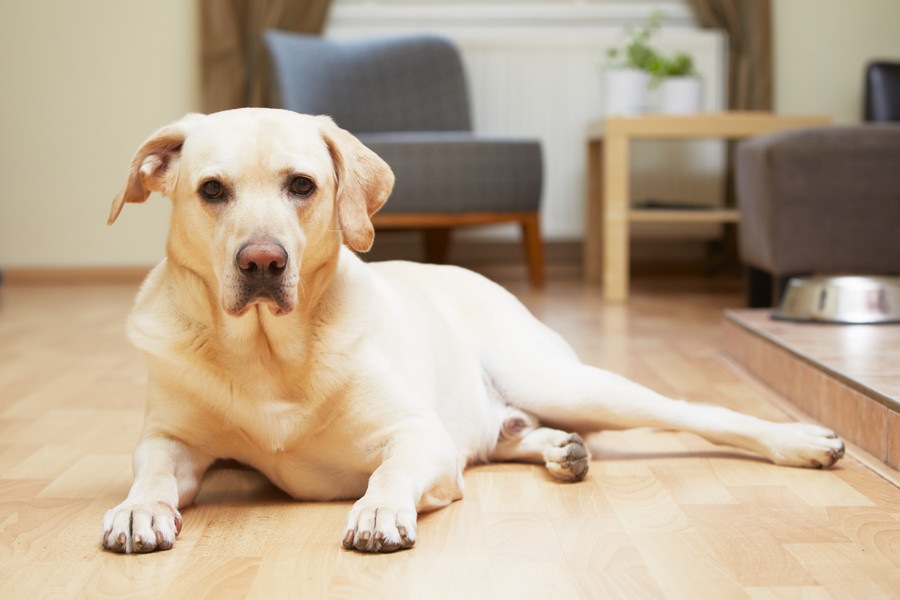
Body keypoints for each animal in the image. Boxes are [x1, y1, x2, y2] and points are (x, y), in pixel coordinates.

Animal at [103, 108, 844, 552]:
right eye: (212, 190)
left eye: (302, 186)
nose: (262, 261)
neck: (265, 352)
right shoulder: (170, 439)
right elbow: (153, 471)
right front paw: (139, 508)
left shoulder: (417, 436)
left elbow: (390, 471)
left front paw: (378, 509)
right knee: (507, 435)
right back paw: (559, 449)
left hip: (568, 383)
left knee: (697, 412)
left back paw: (800, 441)